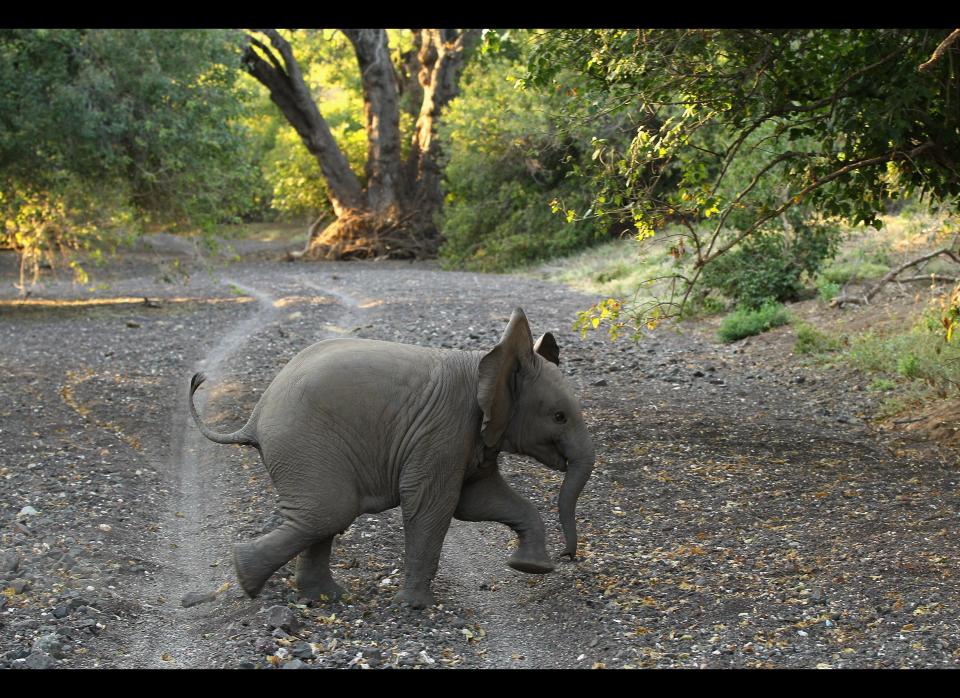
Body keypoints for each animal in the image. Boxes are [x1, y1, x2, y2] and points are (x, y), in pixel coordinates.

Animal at [188, 308, 592, 608]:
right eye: (559, 416)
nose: (568, 556)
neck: (484, 362)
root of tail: (255, 416)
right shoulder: (444, 430)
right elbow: (432, 504)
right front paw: (416, 607)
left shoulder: (471, 439)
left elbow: (479, 500)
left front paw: (530, 567)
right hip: (303, 443)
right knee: (328, 512)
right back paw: (247, 579)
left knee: (321, 517)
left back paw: (324, 597)